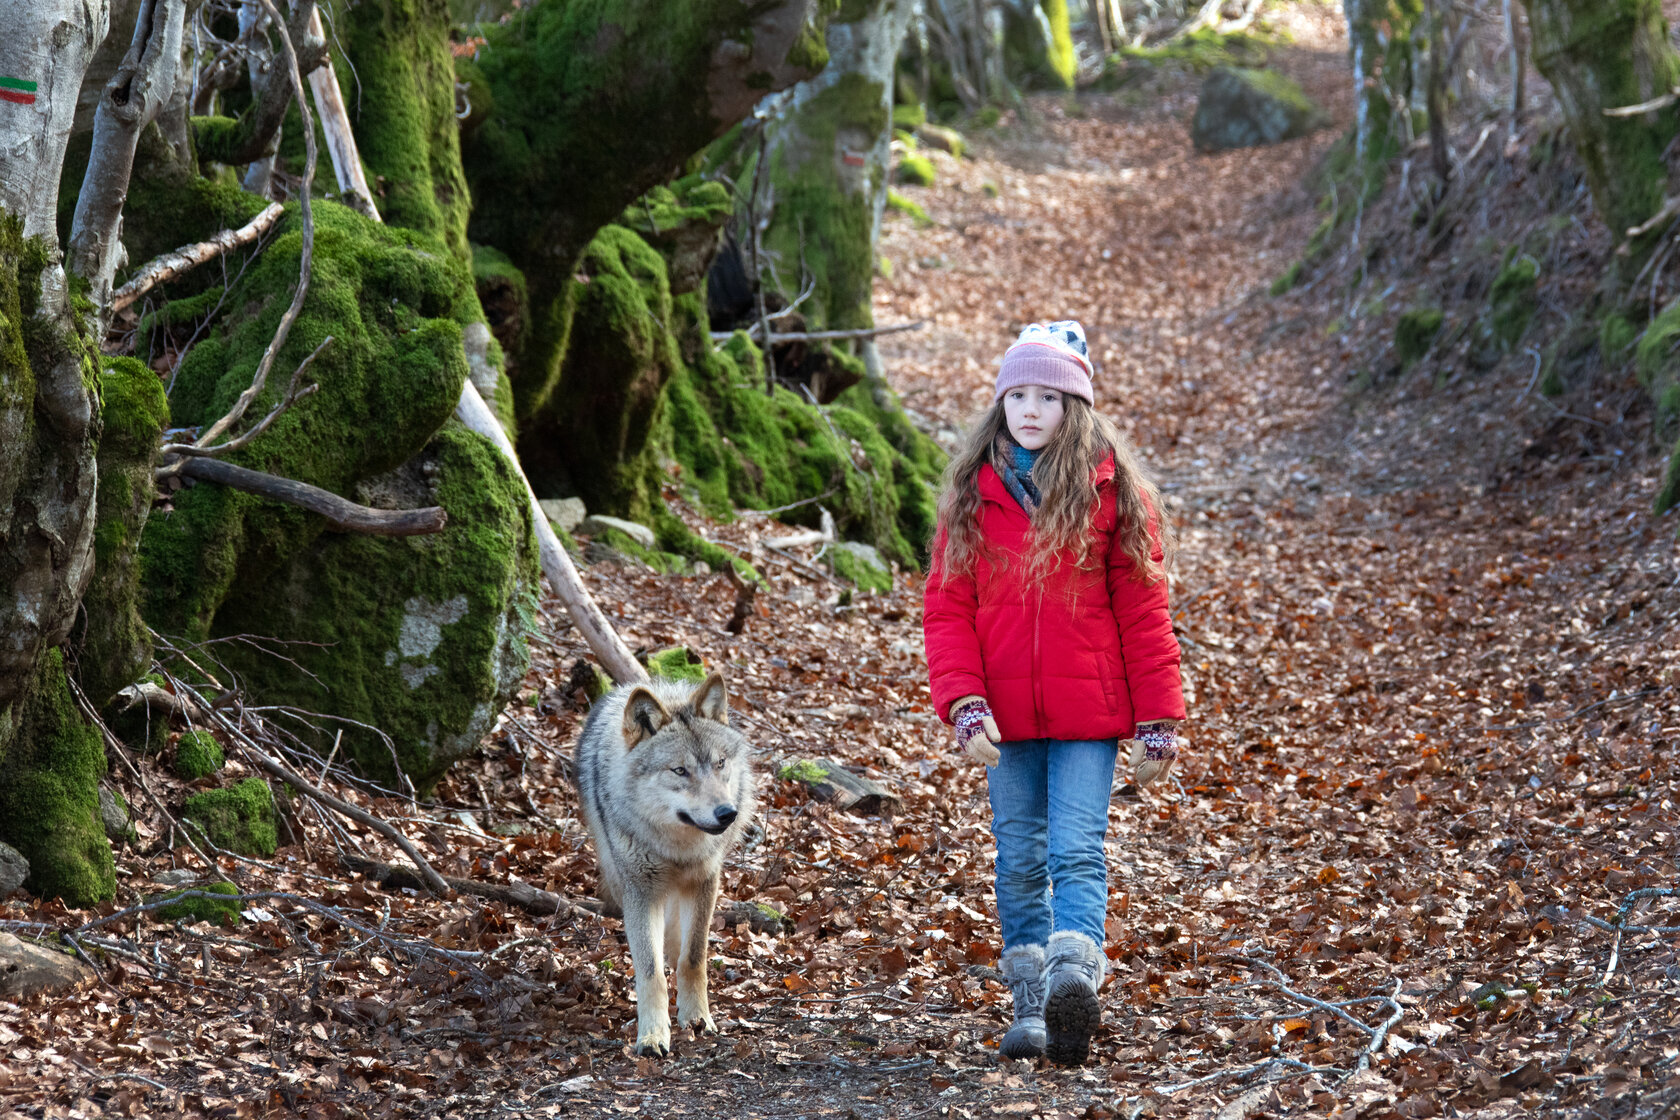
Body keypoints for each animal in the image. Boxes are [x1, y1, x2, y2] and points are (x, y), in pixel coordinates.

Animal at [574, 671, 757, 1057]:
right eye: (680, 770)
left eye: (719, 763)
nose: (727, 813)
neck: (677, 848)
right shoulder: (641, 892)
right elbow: (650, 971)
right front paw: (653, 1035)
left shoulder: (705, 880)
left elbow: (693, 957)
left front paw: (697, 1018)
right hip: (619, 878)